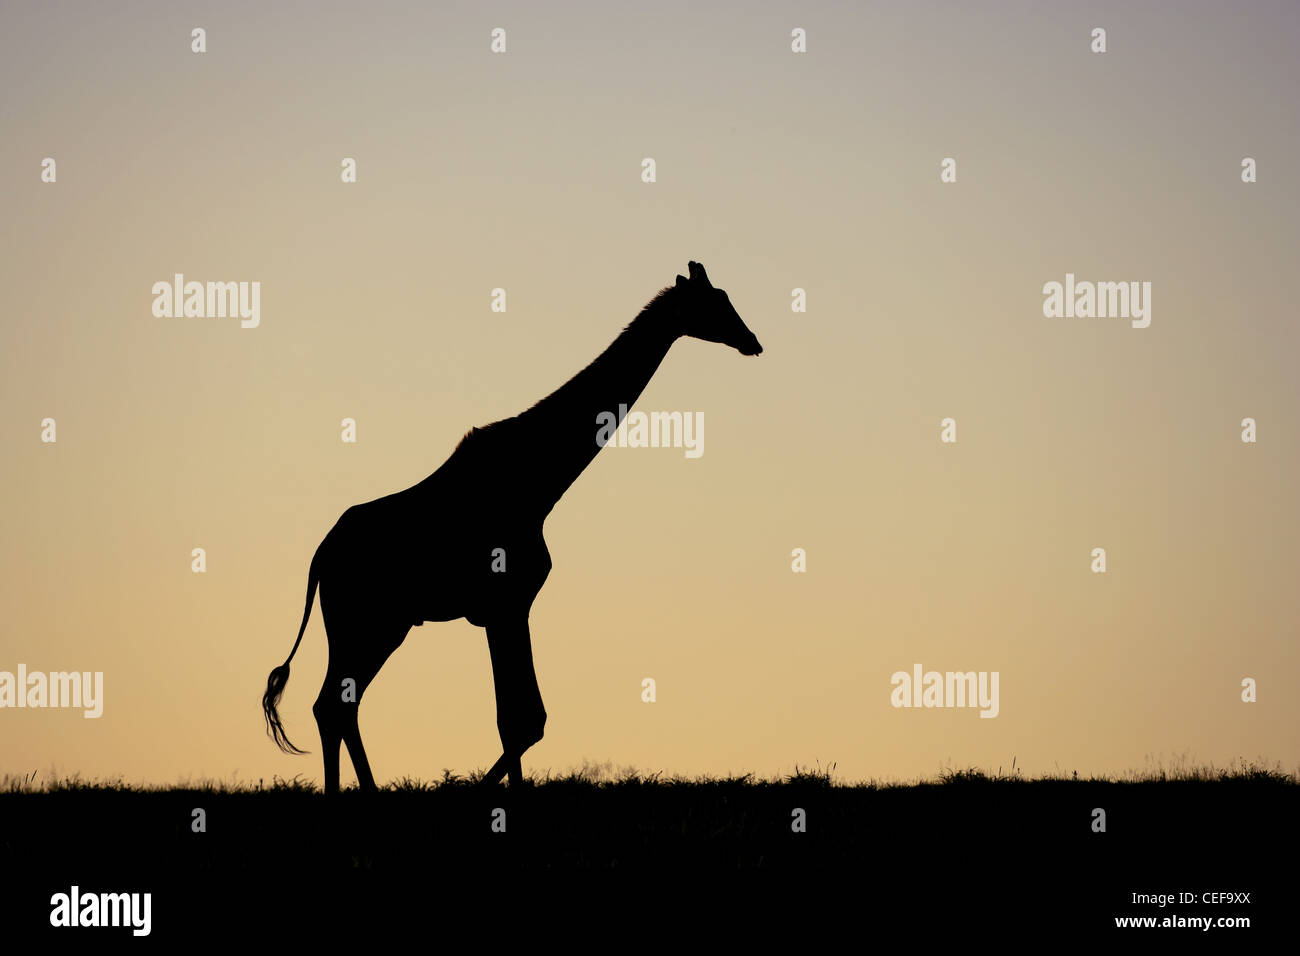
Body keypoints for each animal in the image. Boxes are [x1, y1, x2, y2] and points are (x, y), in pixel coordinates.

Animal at [260, 260, 759, 790]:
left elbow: (522, 720)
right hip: (366, 620)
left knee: (336, 704)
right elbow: (522, 721)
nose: (752, 341)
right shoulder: (506, 604)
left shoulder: (509, 606)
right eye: (715, 303)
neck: (538, 485)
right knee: (333, 704)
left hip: (376, 623)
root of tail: (320, 558)